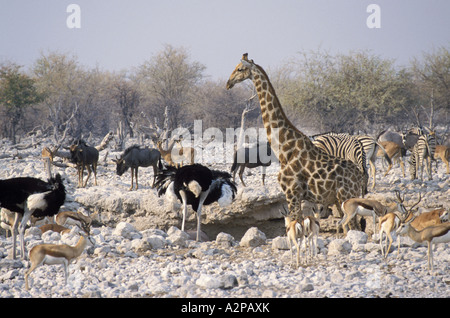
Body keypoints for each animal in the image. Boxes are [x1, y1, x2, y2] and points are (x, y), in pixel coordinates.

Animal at [227, 54, 364, 219]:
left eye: (240, 69)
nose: (228, 83)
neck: (283, 146)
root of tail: (359, 177)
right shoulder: (296, 195)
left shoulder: (292, 192)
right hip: (340, 200)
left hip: (346, 196)